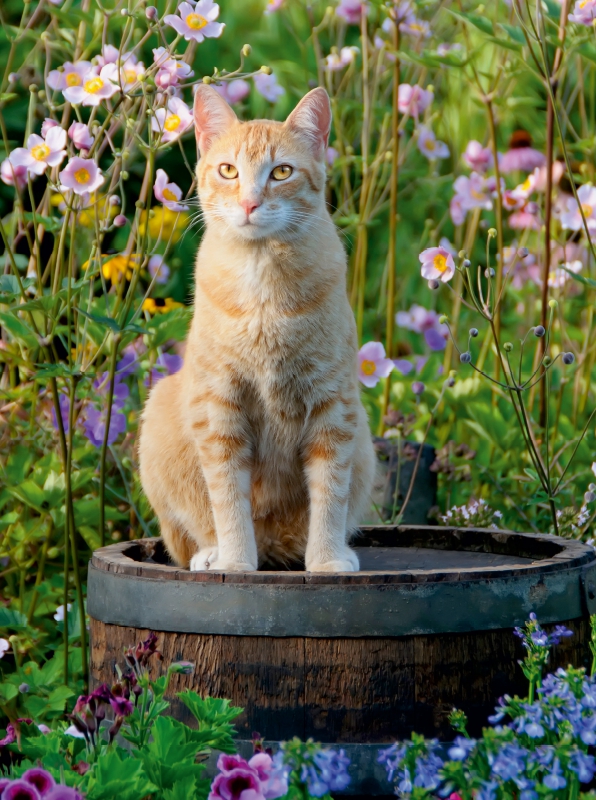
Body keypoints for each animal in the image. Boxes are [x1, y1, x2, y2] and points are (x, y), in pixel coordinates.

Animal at [138, 84, 374, 568]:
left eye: (281, 172)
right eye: (228, 171)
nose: (249, 203)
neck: (264, 286)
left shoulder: (333, 409)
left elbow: (330, 493)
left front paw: (326, 559)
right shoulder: (219, 411)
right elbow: (228, 500)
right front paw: (236, 563)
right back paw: (214, 554)